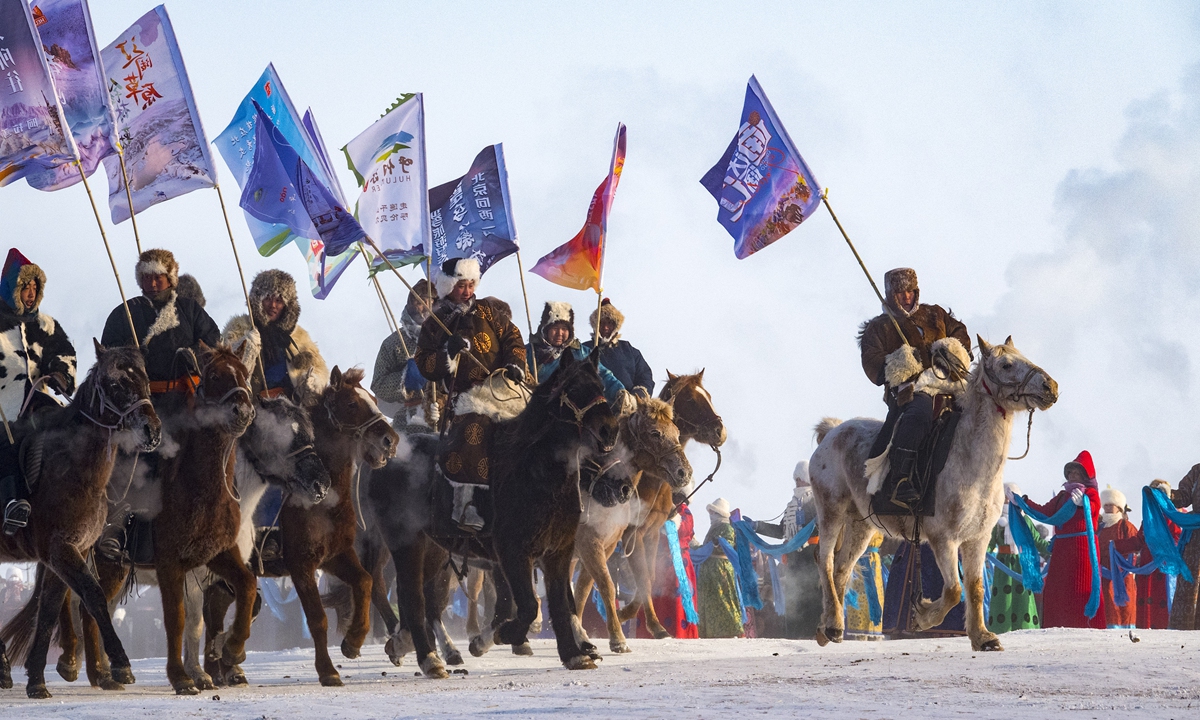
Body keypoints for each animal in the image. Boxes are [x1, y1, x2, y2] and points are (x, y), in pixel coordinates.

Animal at [0, 343, 160, 696]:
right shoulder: (62, 551)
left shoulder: (66, 553)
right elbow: (94, 597)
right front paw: (120, 664)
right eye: (115, 383)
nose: (152, 431)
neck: (74, 469)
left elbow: (48, 611)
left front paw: (36, 680)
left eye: (145, 379)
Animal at [200, 364, 398, 686]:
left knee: (215, 605)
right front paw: (328, 670)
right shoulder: (301, 564)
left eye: (374, 400)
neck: (324, 503)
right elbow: (317, 618)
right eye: (351, 404)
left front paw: (353, 642)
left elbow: (365, 582)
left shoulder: (337, 556)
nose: (390, 441)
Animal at [367, 348, 619, 676]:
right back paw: (430, 658)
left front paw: (574, 655)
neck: (535, 469)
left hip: (434, 550)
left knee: (425, 600)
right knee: (413, 597)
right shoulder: (513, 552)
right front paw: (501, 635)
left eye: (600, 386)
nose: (609, 431)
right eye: (574, 388)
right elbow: (526, 606)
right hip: (404, 543)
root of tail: (389, 458)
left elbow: (561, 604)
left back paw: (407, 644)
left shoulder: (558, 552)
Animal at [571, 393, 696, 652]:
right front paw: (618, 637)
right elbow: (608, 584)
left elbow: (590, 586)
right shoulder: (602, 541)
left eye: (677, 431)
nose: (684, 473)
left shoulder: (622, 540)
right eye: (655, 433)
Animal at [811, 338, 1056, 652]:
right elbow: (953, 590)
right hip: (831, 510)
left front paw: (983, 637)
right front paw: (923, 616)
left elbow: (974, 588)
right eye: (1006, 365)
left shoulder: (977, 540)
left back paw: (829, 627)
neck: (970, 462)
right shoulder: (944, 539)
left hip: (861, 525)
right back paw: (832, 625)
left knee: (842, 569)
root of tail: (832, 431)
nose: (1051, 386)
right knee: (825, 560)